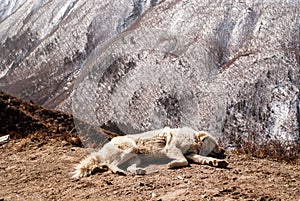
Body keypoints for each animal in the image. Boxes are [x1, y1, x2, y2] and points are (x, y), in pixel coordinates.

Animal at [72, 126, 227, 178]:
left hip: (136, 158)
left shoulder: (191, 154)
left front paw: (217, 162)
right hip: (131, 148)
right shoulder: (172, 149)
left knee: (129, 167)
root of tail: (102, 150)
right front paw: (172, 164)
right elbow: (183, 161)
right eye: (216, 144)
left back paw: (138, 171)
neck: (194, 140)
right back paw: (118, 171)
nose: (224, 150)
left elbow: (201, 159)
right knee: (111, 164)